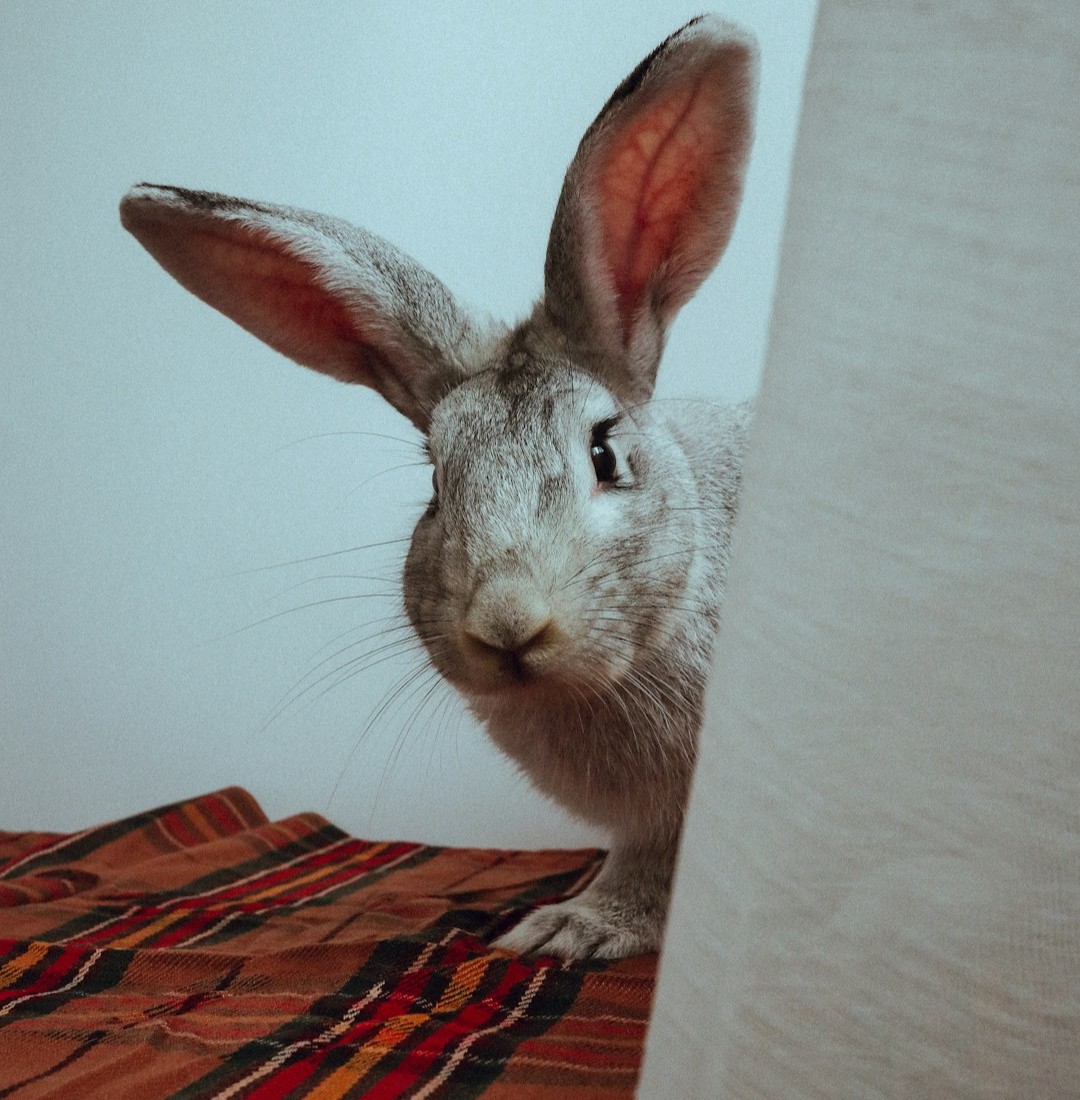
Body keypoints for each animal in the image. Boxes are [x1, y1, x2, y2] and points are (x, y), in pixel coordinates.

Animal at [119, 14, 758, 960]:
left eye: (605, 455)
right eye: (435, 478)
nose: (507, 623)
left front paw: (580, 933)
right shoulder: (653, 823)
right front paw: (569, 927)